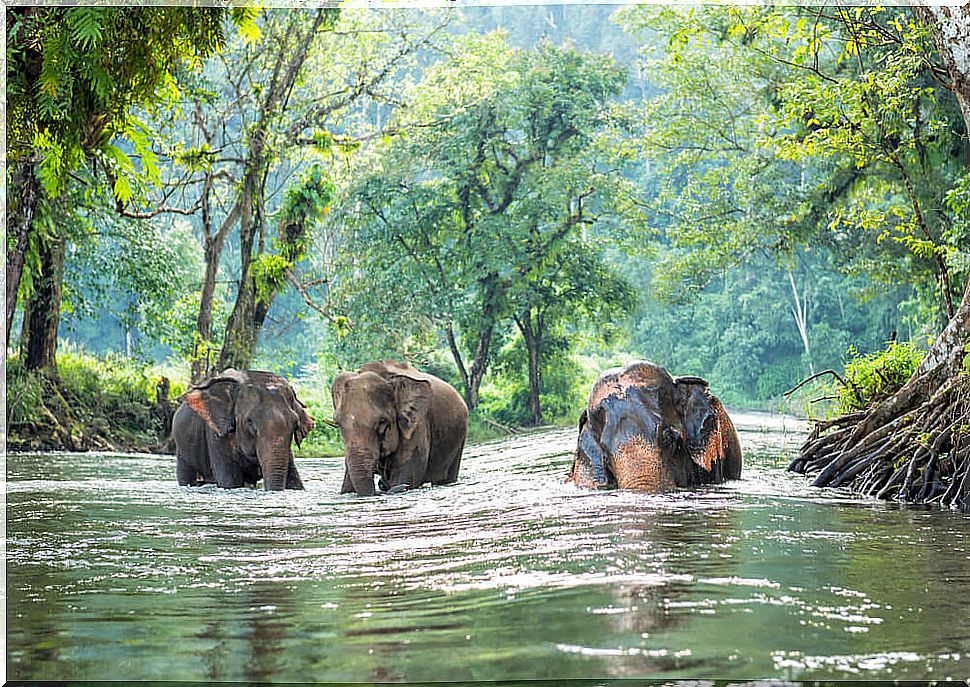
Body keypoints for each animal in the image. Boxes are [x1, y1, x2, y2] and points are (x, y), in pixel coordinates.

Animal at [170, 368, 314, 492]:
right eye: (249, 421)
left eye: (295, 423)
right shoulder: (216, 434)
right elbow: (231, 481)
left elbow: (295, 481)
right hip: (182, 448)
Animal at [332, 360, 468, 494]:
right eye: (337, 423)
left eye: (382, 421)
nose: (381, 485)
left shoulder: (417, 424)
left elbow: (408, 473)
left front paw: (400, 485)